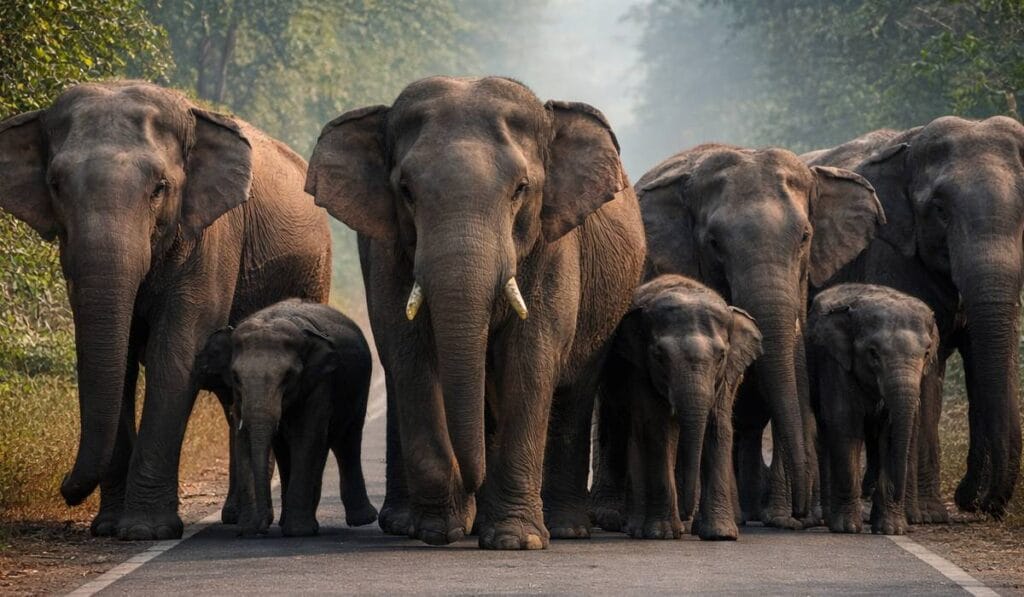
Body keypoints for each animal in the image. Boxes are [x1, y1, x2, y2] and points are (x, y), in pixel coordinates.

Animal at [0, 81, 331, 540]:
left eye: (159, 187)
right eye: (55, 185)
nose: (65, 490)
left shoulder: (212, 238)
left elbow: (175, 356)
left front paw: (145, 531)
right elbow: (110, 360)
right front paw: (108, 528)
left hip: (313, 275)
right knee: (234, 399)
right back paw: (236, 516)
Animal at [196, 299, 377, 536]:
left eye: (288, 376)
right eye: (235, 377)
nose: (261, 528)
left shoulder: (320, 381)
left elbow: (307, 435)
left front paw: (298, 531)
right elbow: (243, 438)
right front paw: (247, 528)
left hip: (358, 388)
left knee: (346, 440)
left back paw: (359, 520)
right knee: (287, 449)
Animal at [305, 76, 645, 550]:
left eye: (521, 188)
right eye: (406, 191)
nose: (472, 481)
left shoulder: (553, 247)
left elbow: (530, 359)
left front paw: (516, 541)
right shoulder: (389, 253)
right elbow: (410, 358)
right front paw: (439, 530)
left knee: (573, 390)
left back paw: (564, 528)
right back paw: (412, 522)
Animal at [605, 274, 762, 540]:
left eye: (721, 356)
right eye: (659, 356)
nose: (687, 515)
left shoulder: (727, 375)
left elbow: (717, 427)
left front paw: (720, 535)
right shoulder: (642, 371)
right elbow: (658, 429)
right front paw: (663, 533)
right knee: (635, 432)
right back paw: (639, 528)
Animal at [808, 284, 939, 535]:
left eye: (927, 353)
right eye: (873, 353)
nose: (912, 524)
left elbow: (890, 433)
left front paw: (892, 530)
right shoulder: (835, 364)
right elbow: (844, 423)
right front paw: (848, 528)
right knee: (826, 434)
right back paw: (829, 518)